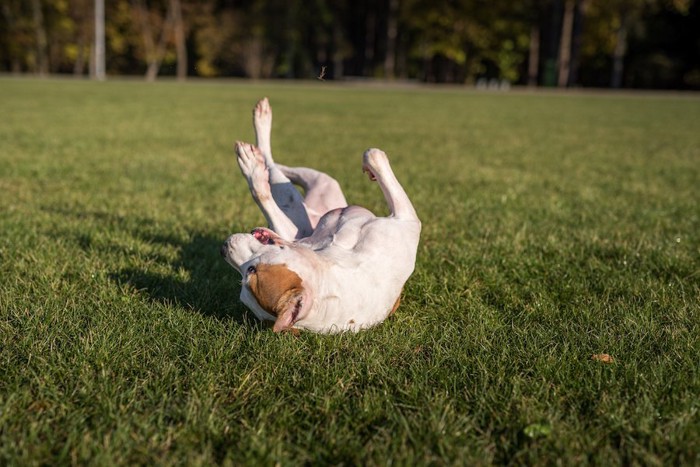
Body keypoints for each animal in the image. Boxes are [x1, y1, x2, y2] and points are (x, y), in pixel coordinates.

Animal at [221, 98, 422, 332]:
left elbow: (373, 154)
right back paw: (257, 150)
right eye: (244, 274)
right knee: (273, 172)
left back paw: (259, 144)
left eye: (252, 270)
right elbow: (374, 154)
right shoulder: (406, 216)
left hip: (308, 198)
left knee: (276, 169)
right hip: (306, 203)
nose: (223, 247)